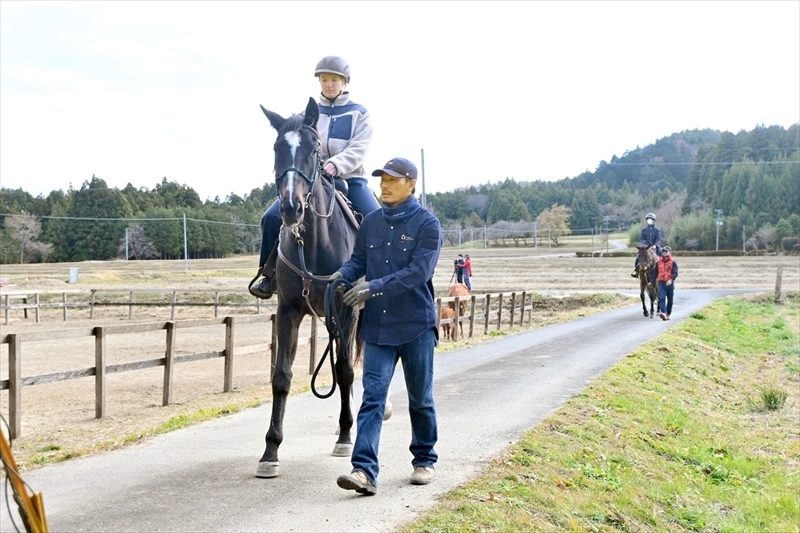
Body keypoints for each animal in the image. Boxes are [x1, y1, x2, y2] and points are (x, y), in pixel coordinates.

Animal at [255, 98, 360, 478]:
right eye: (276, 148)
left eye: (314, 149)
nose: (290, 207)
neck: (312, 244)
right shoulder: (288, 310)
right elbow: (281, 376)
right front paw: (270, 451)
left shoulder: (346, 309)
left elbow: (345, 371)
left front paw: (345, 436)